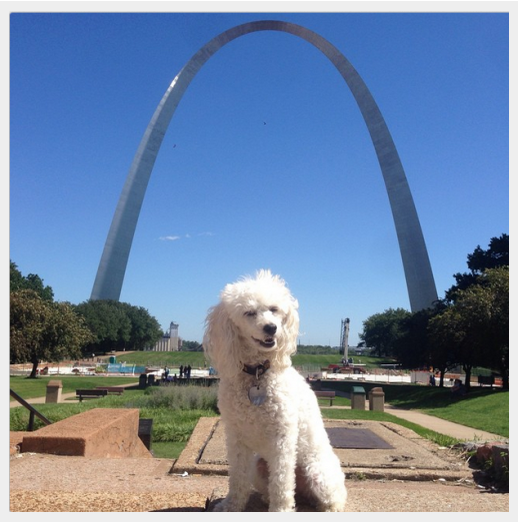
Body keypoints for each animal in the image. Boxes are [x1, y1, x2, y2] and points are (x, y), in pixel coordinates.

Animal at [204, 272, 350, 512]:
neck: (257, 373)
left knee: (333, 497)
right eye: (249, 312)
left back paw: (327, 507)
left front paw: (281, 510)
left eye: (274, 309)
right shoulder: (235, 436)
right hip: (259, 468)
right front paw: (231, 505)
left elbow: (281, 480)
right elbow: (237, 476)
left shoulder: (282, 437)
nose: (271, 328)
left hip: (318, 472)